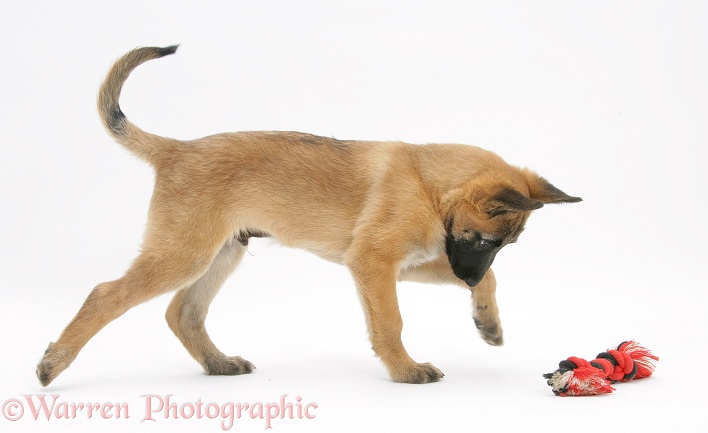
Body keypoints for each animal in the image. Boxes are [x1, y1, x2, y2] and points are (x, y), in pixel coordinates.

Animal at [36, 46, 580, 384]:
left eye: (503, 246)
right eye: (487, 241)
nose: (468, 280)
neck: (429, 186)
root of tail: (177, 149)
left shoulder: (412, 262)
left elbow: (490, 280)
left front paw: (487, 321)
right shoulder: (374, 263)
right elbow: (391, 322)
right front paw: (405, 370)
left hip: (222, 252)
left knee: (182, 312)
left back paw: (218, 363)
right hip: (183, 252)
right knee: (106, 294)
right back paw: (53, 364)